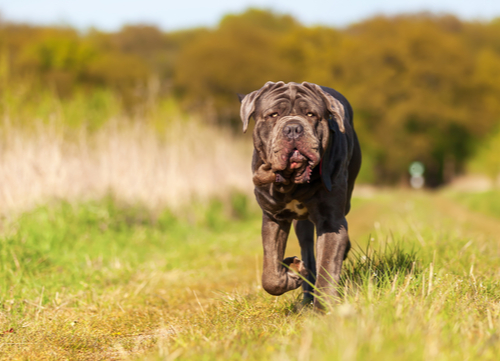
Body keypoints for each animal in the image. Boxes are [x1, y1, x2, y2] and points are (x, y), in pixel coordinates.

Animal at [240, 80, 362, 308]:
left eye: (311, 114)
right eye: (273, 114)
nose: (293, 128)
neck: (292, 182)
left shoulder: (331, 220)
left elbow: (328, 266)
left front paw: (323, 309)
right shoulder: (274, 217)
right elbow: (270, 273)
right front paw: (289, 277)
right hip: (301, 224)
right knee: (307, 250)